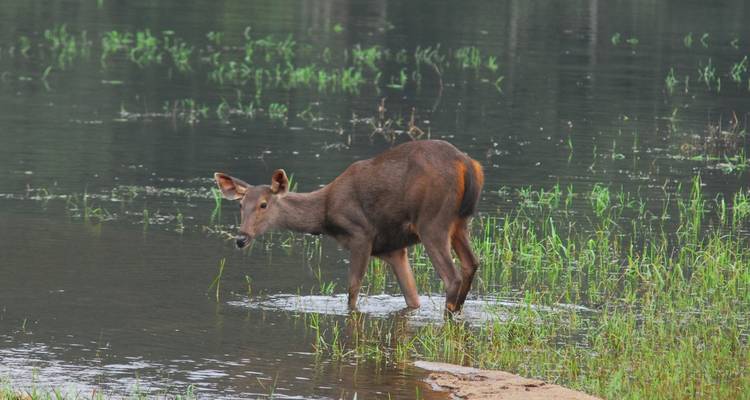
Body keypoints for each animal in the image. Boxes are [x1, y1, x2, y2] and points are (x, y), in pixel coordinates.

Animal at [213, 139, 484, 313]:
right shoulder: (394, 250)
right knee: (472, 263)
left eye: (263, 204)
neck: (324, 216)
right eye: (241, 205)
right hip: (460, 223)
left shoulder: (361, 235)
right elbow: (412, 299)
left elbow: (353, 290)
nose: (241, 238)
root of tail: (468, 164)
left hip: (432, 221)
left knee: (452, 277)